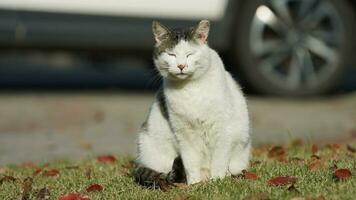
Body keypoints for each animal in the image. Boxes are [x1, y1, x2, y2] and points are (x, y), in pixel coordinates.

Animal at [134, 19, 250, 187]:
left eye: (190, 54)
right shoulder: (184, 133)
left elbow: (219, 160)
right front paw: (194, 184)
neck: (189, 89)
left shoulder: (222, 129)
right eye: (171, 54)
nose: (181, 66)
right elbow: (190, 163)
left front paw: (218, 180)